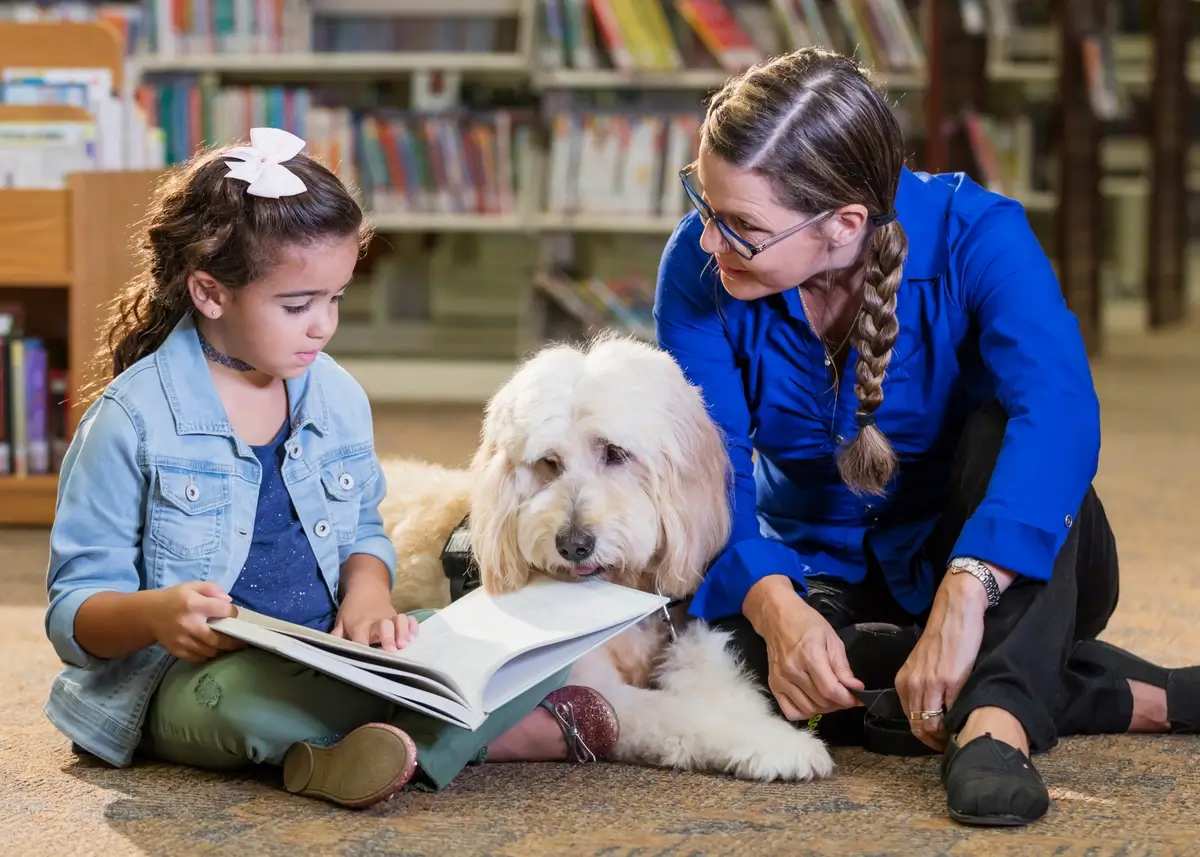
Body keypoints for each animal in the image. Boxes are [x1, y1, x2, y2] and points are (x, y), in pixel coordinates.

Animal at [379, 333, 830, 782]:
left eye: (615, 452)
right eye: (549, 462)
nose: (573, 544)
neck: (623, 586)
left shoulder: (688, 632)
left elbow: (722, 684)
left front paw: (763, 725)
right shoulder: (598, 685)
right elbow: (679, 714)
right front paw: (777, 744)